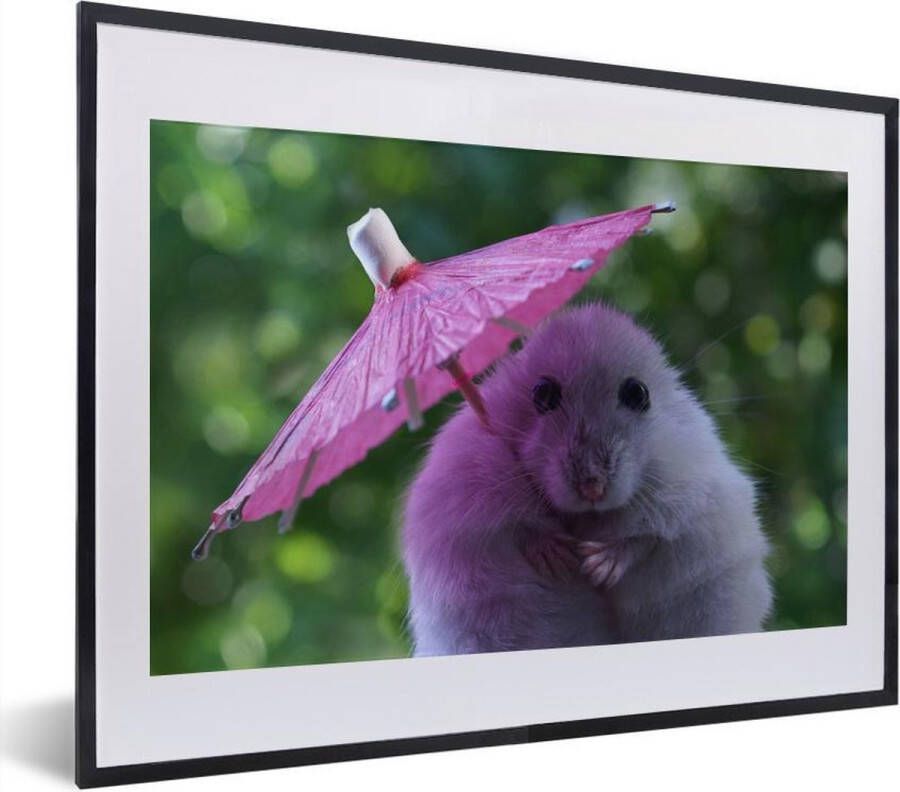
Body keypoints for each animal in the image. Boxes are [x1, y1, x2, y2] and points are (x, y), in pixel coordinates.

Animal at [402, 303, 772, 656]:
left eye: (638, 393)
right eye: (542, 393)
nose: (592, 487)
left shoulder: (695, 485)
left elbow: (649, 535)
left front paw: (596, 566)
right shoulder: (465, 485)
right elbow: (516, 526)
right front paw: (561, 558)